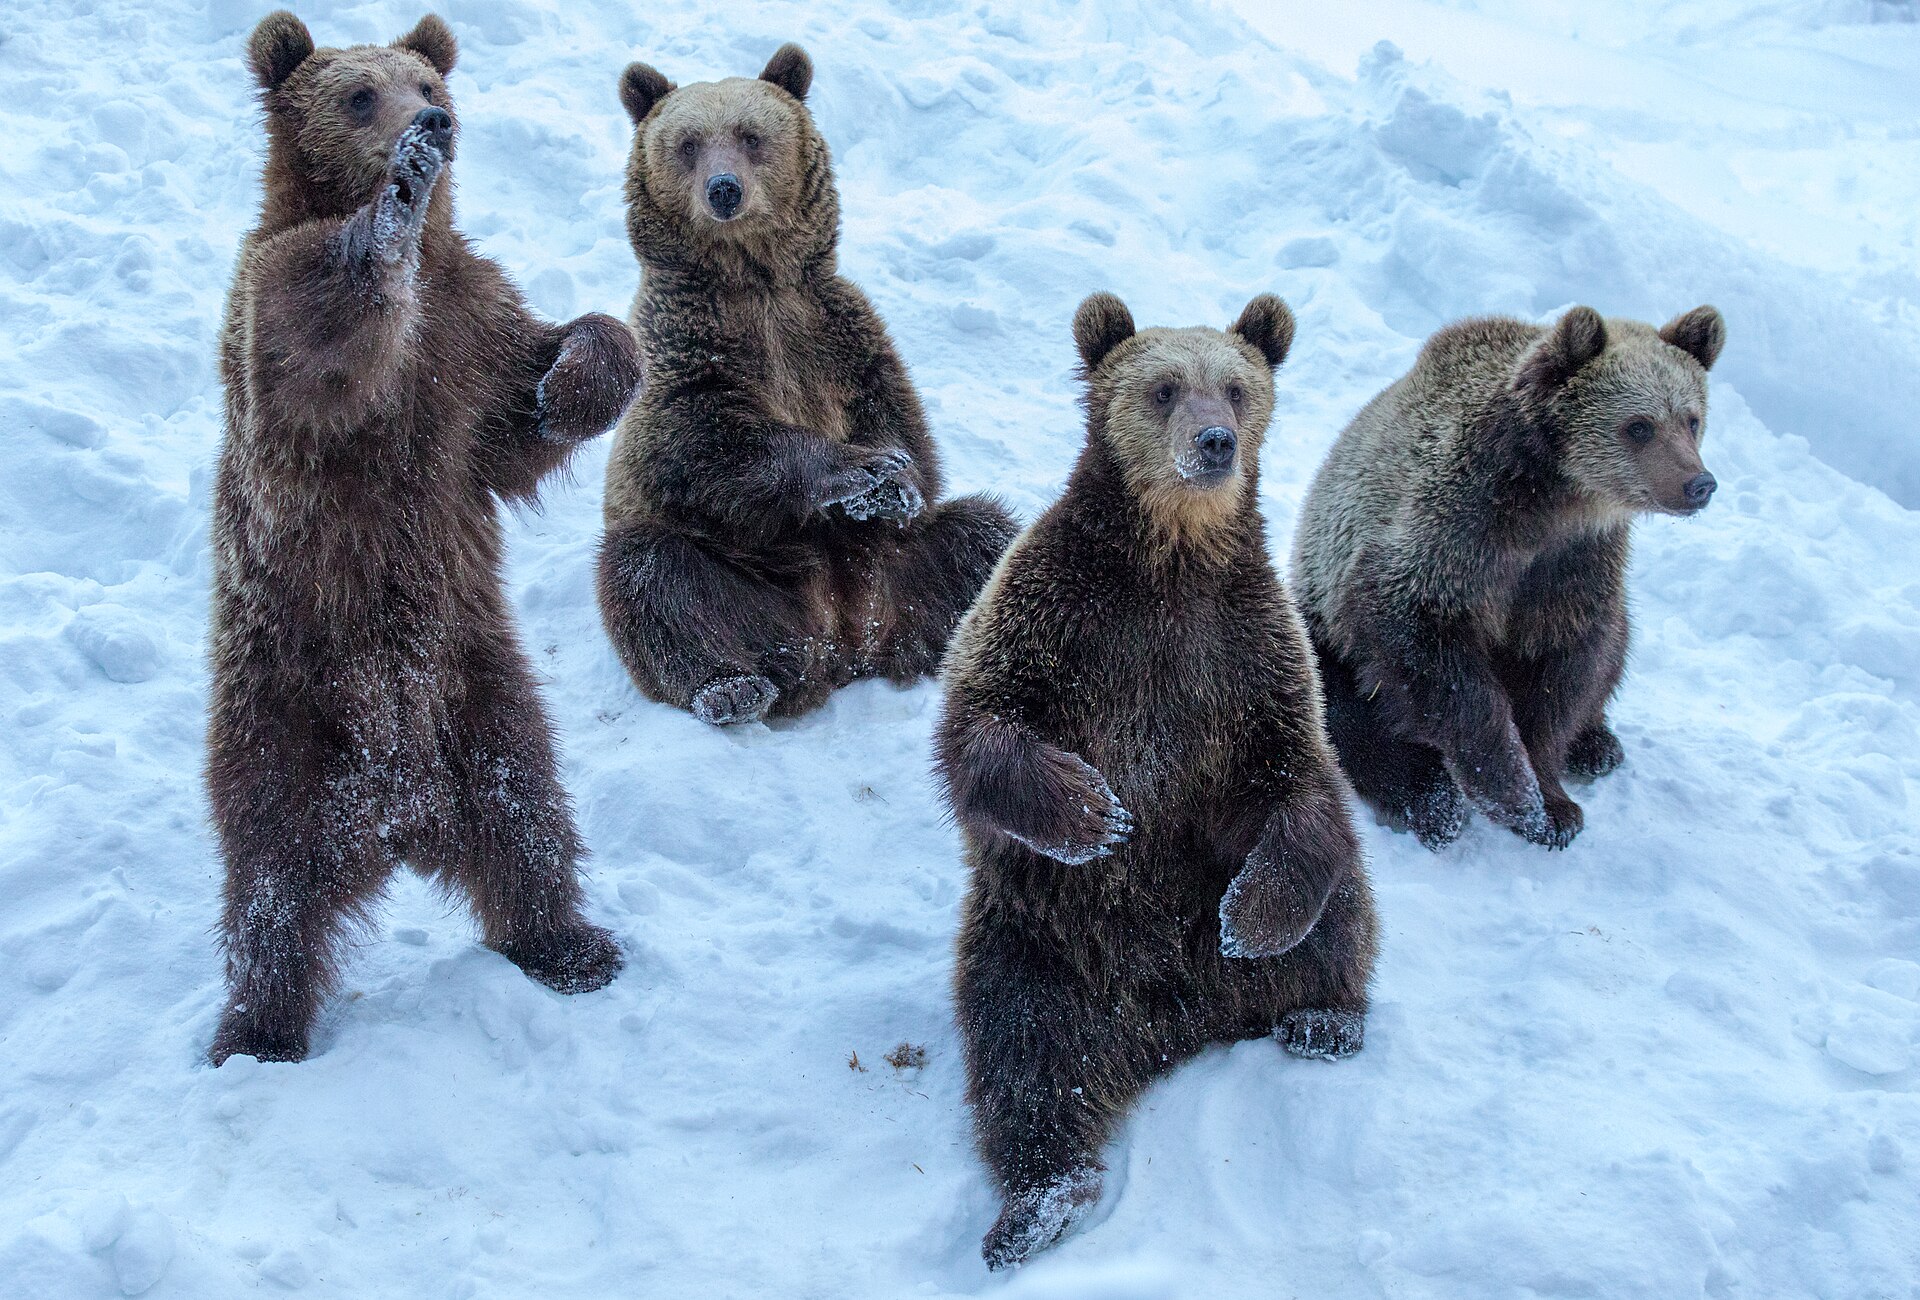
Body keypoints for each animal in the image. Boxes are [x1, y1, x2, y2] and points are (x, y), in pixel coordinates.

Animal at [207, 11, 643, 1065]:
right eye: (360, 92)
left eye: (425, 79)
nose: (433, 125)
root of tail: (395, 818)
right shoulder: (284, 315)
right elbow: (314, 331)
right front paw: (392, 211)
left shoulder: (471, 333)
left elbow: (530, 402)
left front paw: (577, 381)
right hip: (283, 706)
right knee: (270, 882)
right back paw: (258, 1029)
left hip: (474, 685)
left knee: (524, 808)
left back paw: (570, 944)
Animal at [594, 45, 1018, 726]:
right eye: (688, 142)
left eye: (750, 135)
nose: (724, 189)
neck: (754, 280)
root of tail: (850, 647)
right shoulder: (680, 347)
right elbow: (706, 438)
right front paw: (859, 470)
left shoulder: (839, 332)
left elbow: (903, 425)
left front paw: (893, 482)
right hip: (748, 579)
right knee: (652, 575)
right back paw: (732, 687)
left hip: (905, 563)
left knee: (985, 538)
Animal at [936, 292, 1379, 1269]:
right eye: (1165, 385)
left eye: (1238, 387)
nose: (1215, 442)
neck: (1171, 558)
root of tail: (1173, 1022)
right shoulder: (1062, 616)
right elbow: (979, 726)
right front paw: (1092, 812)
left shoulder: (1245, 655)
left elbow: (1296, 777)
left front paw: (1253, 919)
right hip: (1037, 938)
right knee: (1021, 1052)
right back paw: (1039, 1205)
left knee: (1342, 903)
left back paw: (1324, 1018)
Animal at [1290, 305, 1726, 852]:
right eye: (1639, 425)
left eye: (1691, 419)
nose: (1698, 483)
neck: (1554, 500)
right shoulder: (1453, 538)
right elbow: (1431, 657)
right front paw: (1516, 796)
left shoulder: (1573, 567)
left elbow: (1566, 671)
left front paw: (1553, 802)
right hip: (1319, 626)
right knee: (1343, 712)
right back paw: (1428, 799)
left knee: (1617, 647)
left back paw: (1597, 744)